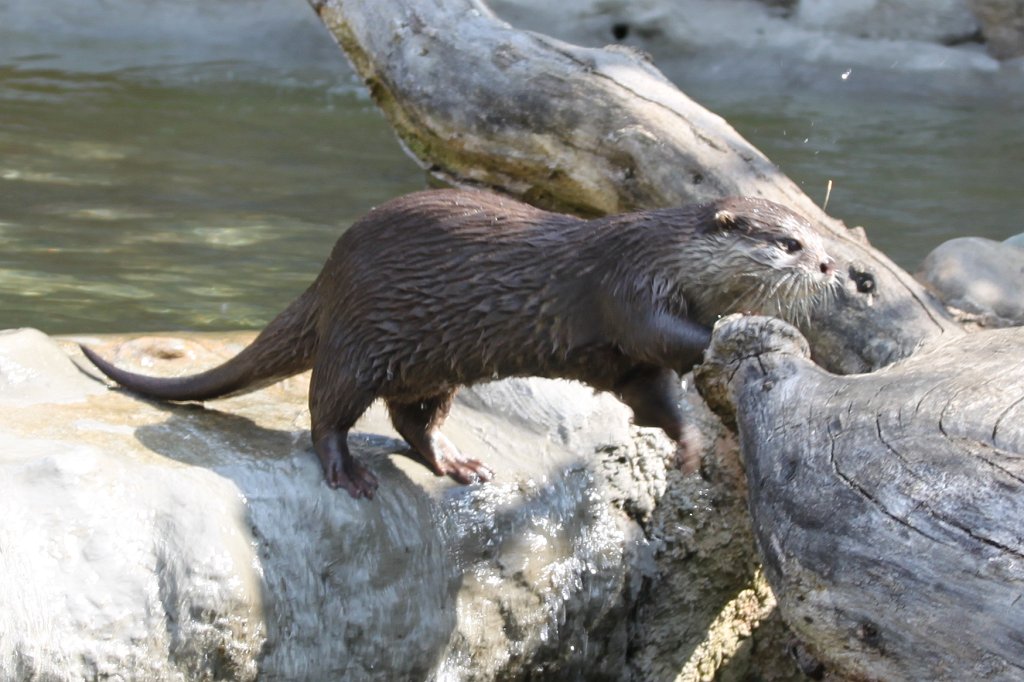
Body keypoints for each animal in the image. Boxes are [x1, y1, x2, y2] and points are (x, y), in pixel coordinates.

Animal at [81, 189, 837, 499]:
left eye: (816, 237)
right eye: (788, 244)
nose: (835, 267)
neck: (663, 255)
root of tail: (327, 276)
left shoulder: (629, 365)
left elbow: (656, 399)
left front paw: (689, 448)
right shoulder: (627, 291)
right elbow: (665, 335)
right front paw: (751, 330)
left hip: (429, 366)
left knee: (411, 420)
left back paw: (457, 464)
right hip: (358, 339)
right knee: (326, 412)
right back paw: (347, 473)